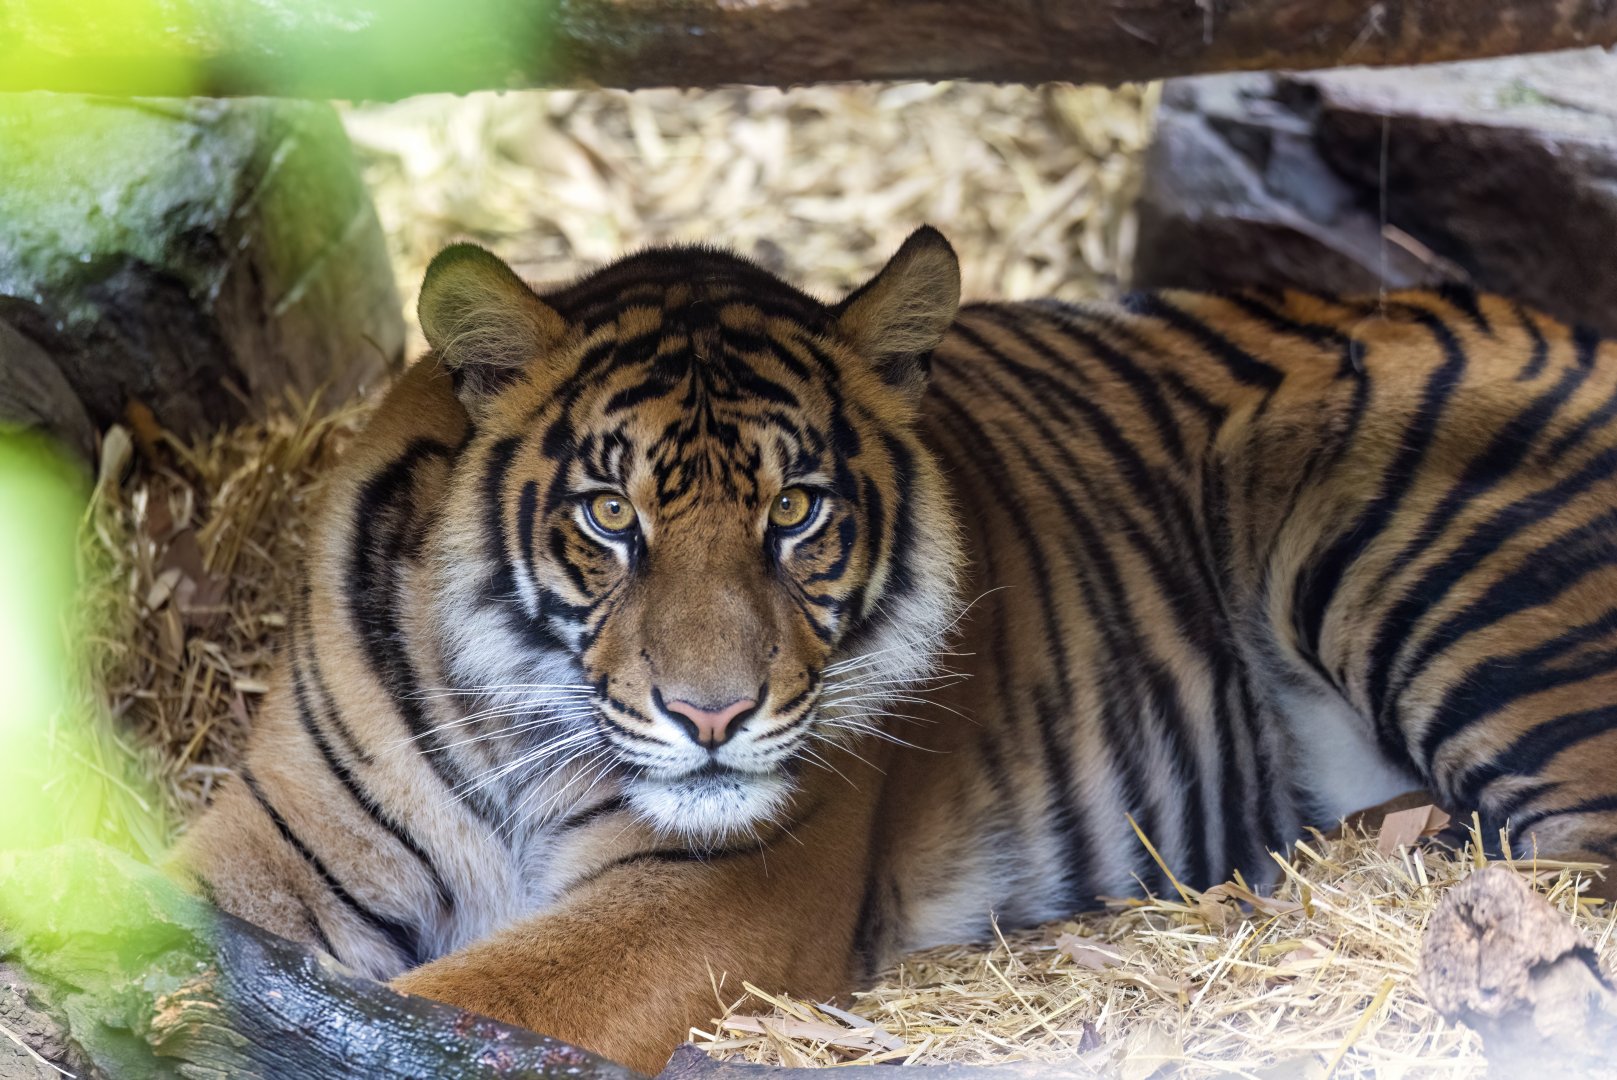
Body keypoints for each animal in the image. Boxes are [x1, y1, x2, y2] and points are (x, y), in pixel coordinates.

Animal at [172, 226, 1617, 1073]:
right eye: (611, 517)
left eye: (796, 514)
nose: (712, 718)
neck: (507, 722)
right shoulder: (279, 834)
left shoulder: (708, 897)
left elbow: (471, 999)